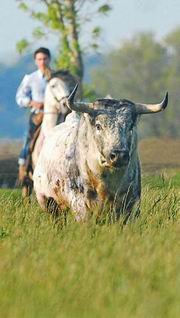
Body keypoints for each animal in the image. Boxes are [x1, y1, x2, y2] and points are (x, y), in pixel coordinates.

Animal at [33, 85, 168, 222]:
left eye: (130, 126)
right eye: (98, 126)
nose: (119, 155)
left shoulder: (131, 205)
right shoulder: (81, 206)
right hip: (49, 203)